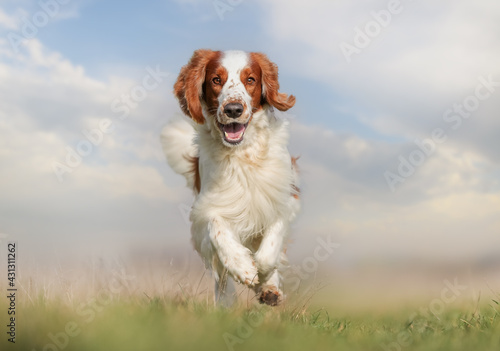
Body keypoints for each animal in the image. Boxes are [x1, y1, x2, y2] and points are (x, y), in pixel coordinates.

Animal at [162, 50, 298, 308]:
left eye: (251, 79)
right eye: (216, 80)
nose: (233, 109)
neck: (242, 154)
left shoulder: (283, 198)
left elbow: (269, 251)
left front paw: (265, 280)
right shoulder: (208, 206)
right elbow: (217, 227)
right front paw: (243, 267)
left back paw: (269, 289)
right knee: (222, 280)